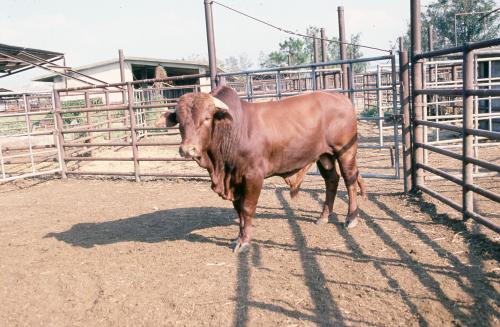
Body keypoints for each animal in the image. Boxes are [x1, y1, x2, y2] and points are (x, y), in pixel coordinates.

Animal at [162, 86, 366, 252]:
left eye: (206, 118)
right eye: (180, 121)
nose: (187, 149)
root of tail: (340, 97)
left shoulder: (253, 177)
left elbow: (246, 209)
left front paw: (244, 242)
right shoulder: (235, 180)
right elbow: (238, 210)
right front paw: (239, 237)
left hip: (345, 151)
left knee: (350, 180)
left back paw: (351, 218)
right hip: (324, 156)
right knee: (331, 180)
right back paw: (323, 216)